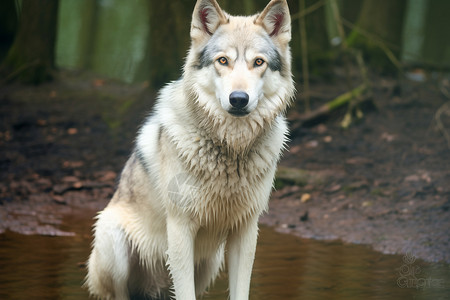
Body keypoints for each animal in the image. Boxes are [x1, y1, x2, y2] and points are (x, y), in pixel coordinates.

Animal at [85, 0, 296, 298]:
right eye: (223, 61)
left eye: (258, 62)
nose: (239, 99)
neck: (230, 150)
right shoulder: (180, 228)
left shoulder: (246, 229)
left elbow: (240, 290)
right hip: (113, 243)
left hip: (209, 263)